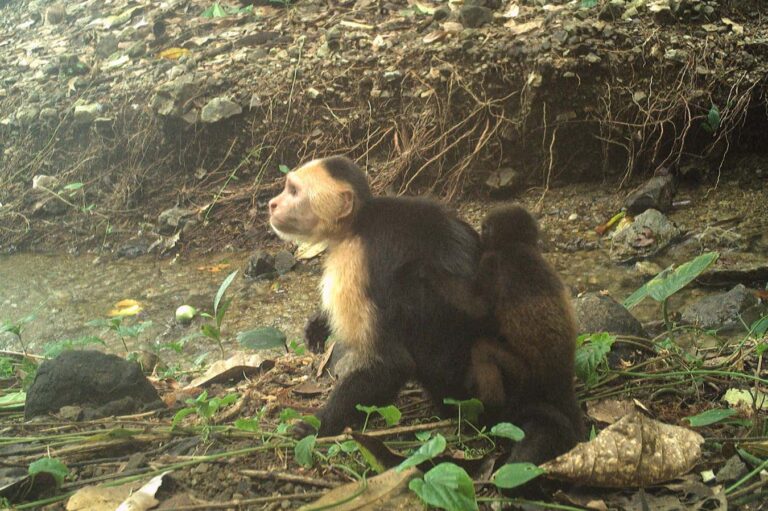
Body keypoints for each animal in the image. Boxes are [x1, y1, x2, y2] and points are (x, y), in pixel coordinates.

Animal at [268, 156, 489, 437]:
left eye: (294, 191)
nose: (272, 203)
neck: (355, 224)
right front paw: (318, 324)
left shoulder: (351, 264)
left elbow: (392, 364)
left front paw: (317, 425)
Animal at [466, 205, 585, 464]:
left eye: (485, 228)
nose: (480, 232)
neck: (515, 244)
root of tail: (561, 380)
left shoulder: (491, 263)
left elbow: (478, 312)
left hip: (525, 376)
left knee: (481, 351)